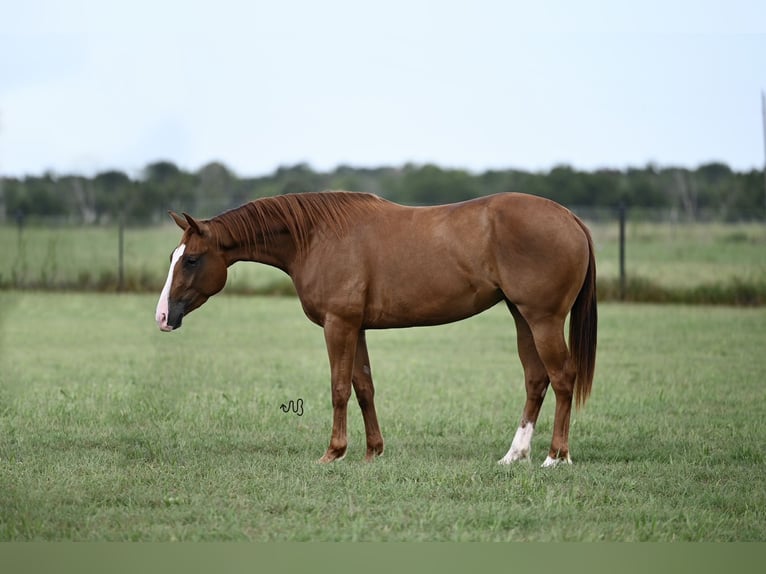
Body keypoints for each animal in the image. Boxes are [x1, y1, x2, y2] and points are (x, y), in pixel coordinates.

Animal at [158, 192, 600, 468]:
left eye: (192, 259)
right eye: (174, 256)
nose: (163, 316)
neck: (316, 237)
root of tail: (569, 217)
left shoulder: (338, 325)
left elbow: (339, 388)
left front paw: (333, 452)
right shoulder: (356, 327)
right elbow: (364, 387)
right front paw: (373, 452)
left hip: (543, 319)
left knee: (563, 377)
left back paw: (556, 456)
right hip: (522, 317)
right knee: (536, 380)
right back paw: (515, 455)